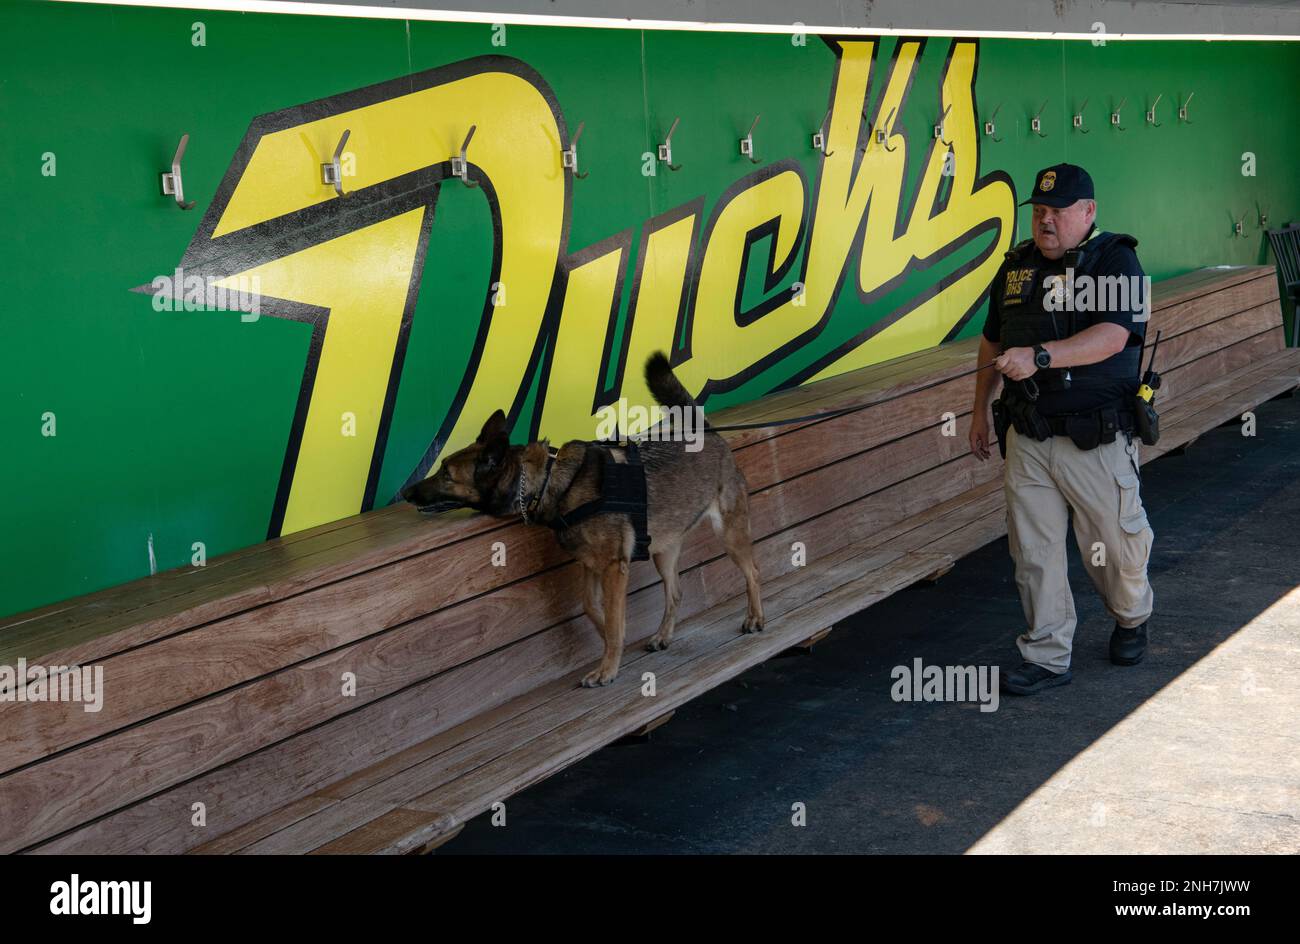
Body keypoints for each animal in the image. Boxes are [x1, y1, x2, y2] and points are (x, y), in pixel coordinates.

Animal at [397, 348, 759, 686]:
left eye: (446, 474)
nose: (405, 492)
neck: (547, 480)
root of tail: (708, 433)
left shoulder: (612, 566)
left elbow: (612, 618)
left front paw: (607, 668)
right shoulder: (590, 563)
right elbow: (592, 607)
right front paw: (611, 640)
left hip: (730, 534)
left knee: (752, 571)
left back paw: (755, 618)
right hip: (663, 549)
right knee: (676, 592)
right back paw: (662, 636)